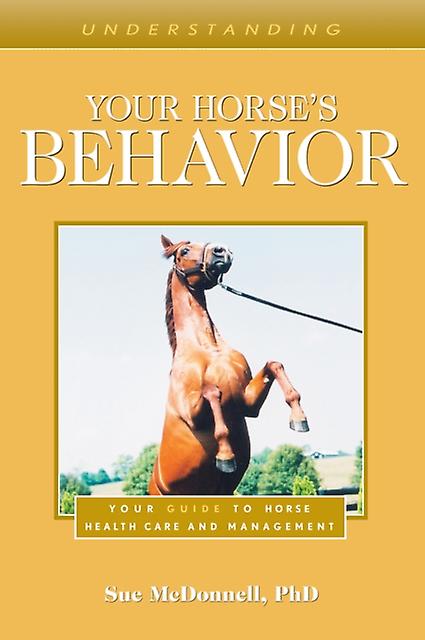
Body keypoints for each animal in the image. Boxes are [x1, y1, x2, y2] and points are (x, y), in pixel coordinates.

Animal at [148, 235, 309, 496]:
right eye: (184, 251)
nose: (221, 251)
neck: (209, 349)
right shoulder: (192, 414)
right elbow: (212, 391)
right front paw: (225, 457)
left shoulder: (247, 404)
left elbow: (274, 365)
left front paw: (299, 418)